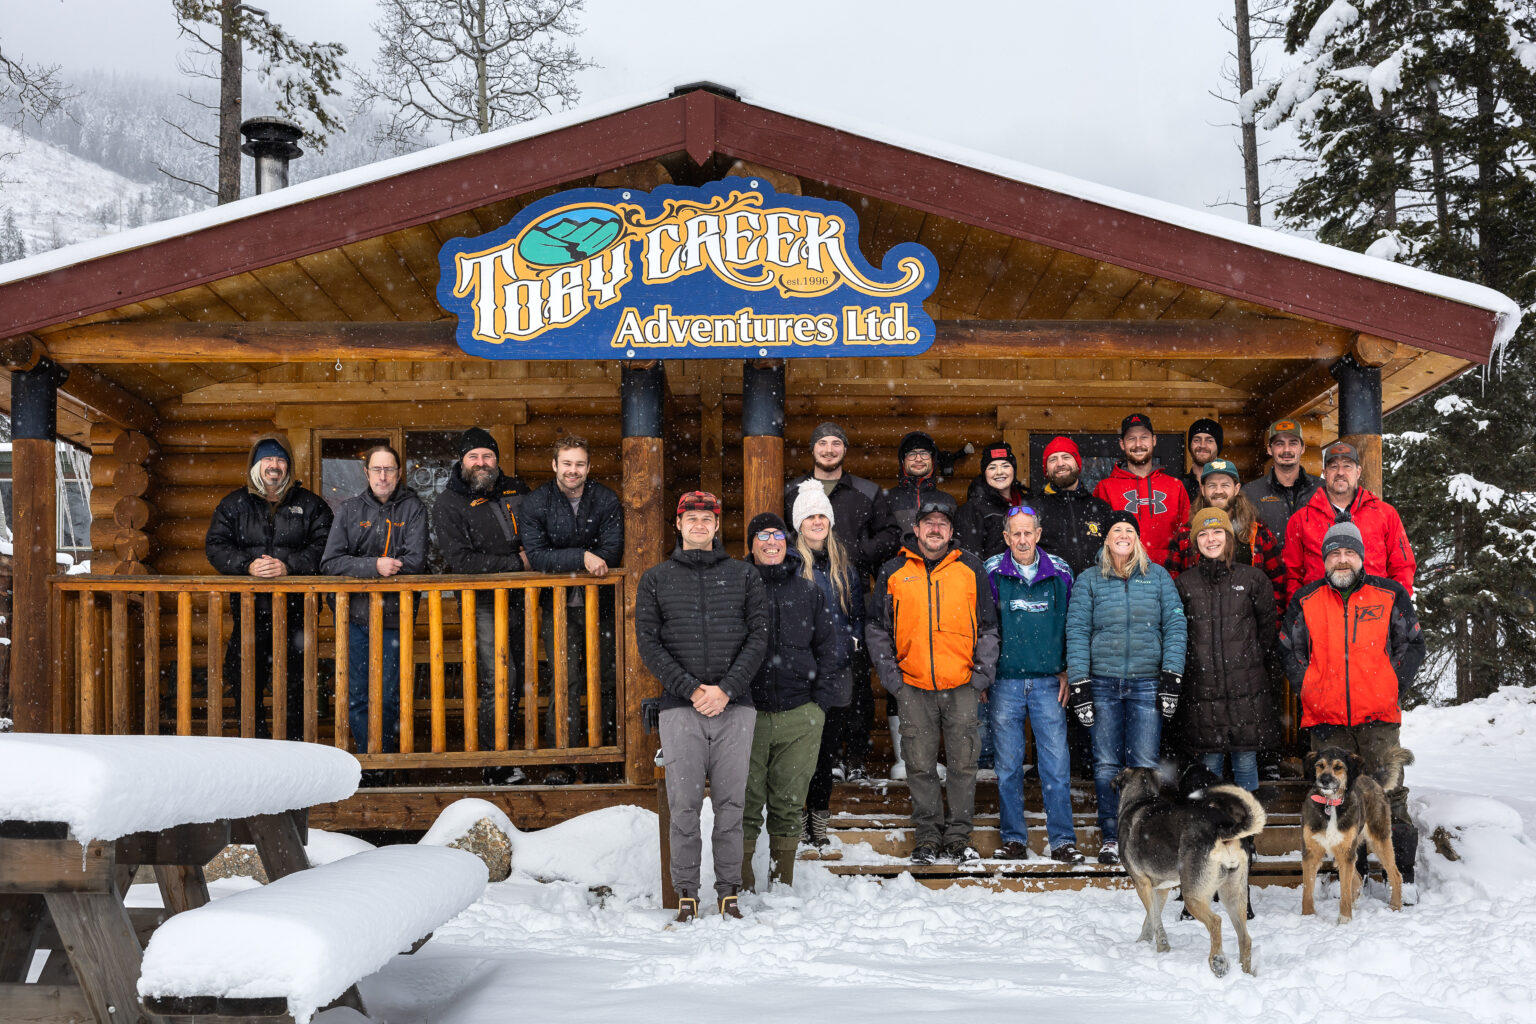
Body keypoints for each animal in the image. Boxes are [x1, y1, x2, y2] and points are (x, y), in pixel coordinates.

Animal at [1112, 767, 1265, 976]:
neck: (1140, 798)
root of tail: (1223, 829)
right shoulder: (1161, 889)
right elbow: (1151, 918)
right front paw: (1146, 943)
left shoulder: (1141, 884)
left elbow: (1154, 917)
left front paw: (1160, 947)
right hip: (1232, 894)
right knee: (1245, 938)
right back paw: (1245, 974)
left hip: (1192, 895)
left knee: (1216, 921)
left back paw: (1218, 963)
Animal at [1296, 746, 1413, 921]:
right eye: (1320, 765)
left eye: (1338, 767)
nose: (1324, 780)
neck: (1330, 804)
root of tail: (1372, 779)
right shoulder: (1311, 851)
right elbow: (1307, 892)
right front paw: (1308, 917)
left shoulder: (1345, 853)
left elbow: (1344, 893)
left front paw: (1344, 920)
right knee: (1357, 879)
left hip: (1379, 839)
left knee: (1396, 875)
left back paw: (1394, 907)